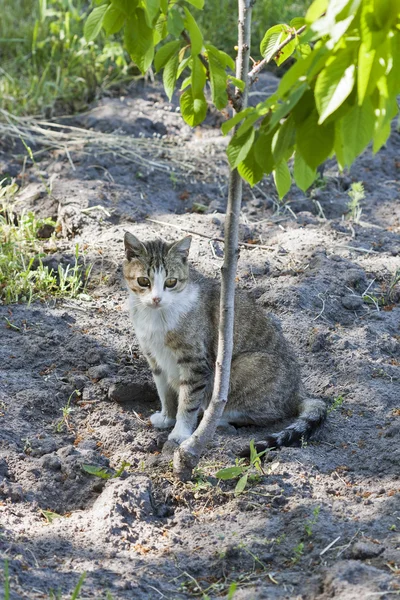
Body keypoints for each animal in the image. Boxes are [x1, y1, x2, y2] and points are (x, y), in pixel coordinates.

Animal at [123, 232, 326, 448]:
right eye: (143, 281)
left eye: (171, 282)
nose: (156, 299)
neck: (156, 316)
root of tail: (298, 390)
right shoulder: (154, 358)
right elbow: (165, 393)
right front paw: (167, 417)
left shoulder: (196, 364)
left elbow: (188, 402)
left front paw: (180, 433)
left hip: (245, 366)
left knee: (267, 412)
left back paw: (216, 420)